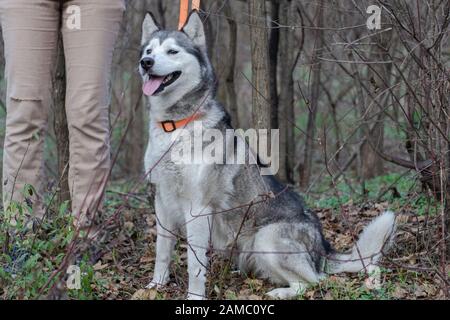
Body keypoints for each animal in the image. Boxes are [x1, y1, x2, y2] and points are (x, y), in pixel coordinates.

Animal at [139, 10, 396, 300]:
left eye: (172, 51)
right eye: (149, 50)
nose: (146, 63)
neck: (175, 125)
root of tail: (323, 247)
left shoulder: (198, 209)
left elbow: (195, 265)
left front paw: (195, 297)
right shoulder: (161, 199)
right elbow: (162, 250)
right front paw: (156, 286)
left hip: (267, 237)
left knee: (314, 282)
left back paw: (279, 293)